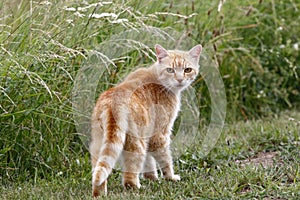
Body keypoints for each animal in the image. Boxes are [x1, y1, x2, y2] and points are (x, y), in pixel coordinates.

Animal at [89, 44, 202, 197]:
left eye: (187, 70)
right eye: (170, 70)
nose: (179, 79)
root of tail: (114, 102)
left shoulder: (149, 135)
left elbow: (149, 162)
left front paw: (152, 178)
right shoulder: (159, 135)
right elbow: (165, 159)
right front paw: (170, 177)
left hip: (99, 144)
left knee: (99, 171)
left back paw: (99, 194)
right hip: (137, 144)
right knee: (129, 177)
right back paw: (137, 187)